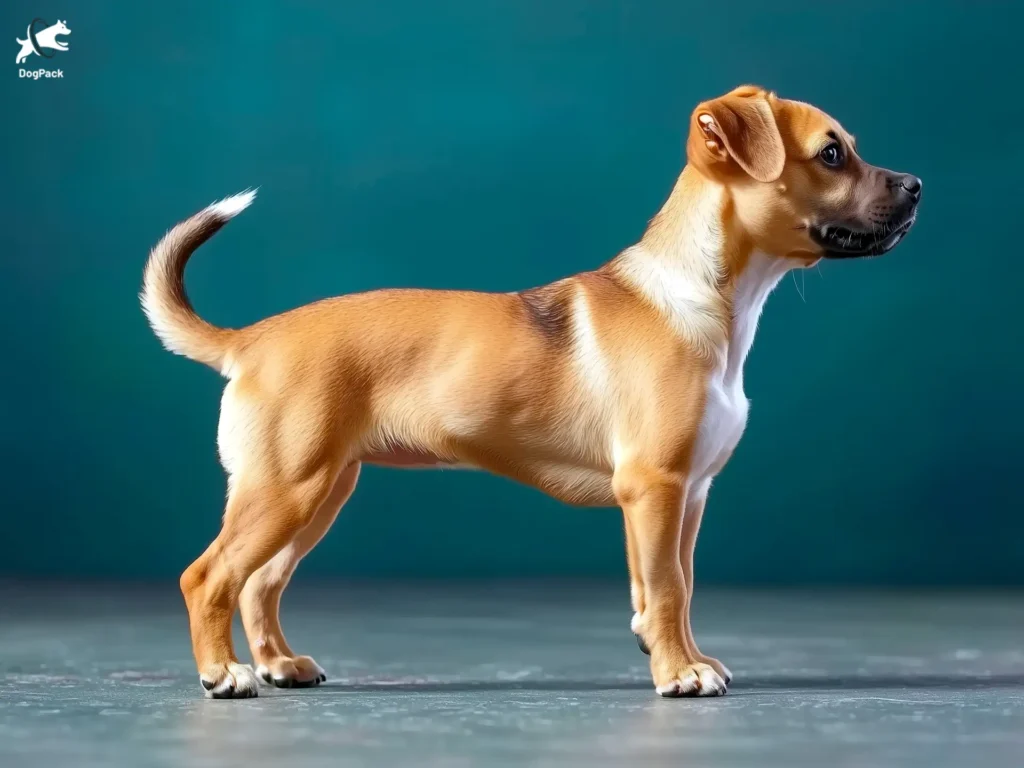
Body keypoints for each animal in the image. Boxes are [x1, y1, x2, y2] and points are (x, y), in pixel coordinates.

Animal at [142, 83, 921, 696]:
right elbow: (669, 589)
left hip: (321, 491)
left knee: (260, 583)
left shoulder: (685, 496)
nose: (917, 187)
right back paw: (224, 674)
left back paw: (278, 664)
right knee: (209, 577)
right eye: (831, 154)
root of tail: (248, 340)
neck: (705, 297)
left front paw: (681, 656)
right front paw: (679, 674)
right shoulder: (657, 486)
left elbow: (674, 584)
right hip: (286, 487)